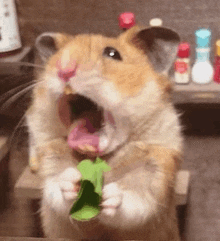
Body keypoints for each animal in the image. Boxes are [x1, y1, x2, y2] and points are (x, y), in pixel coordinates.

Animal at [25, 25, 183, 240]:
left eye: (112, 54)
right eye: (57, 55)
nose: (64, 70)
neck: (98, 157)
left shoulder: (156, 169)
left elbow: (135, 200)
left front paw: (110, 195)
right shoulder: (50, 157)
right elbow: (55, 186)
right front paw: (71, 180)